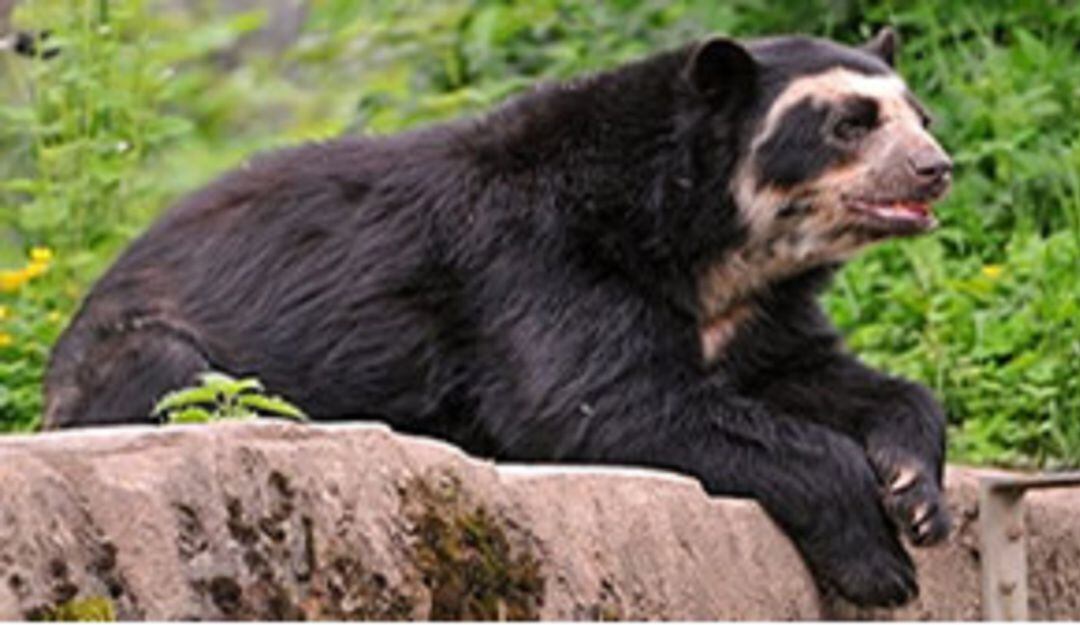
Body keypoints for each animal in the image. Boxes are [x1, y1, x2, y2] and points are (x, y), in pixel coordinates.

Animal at [43, 28, 953, 606]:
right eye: (849, 123)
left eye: (920, 117)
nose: (936, 168)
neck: (710, 243)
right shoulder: (538, 259)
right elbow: (603, 400)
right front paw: (877, 560)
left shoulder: (755, 311)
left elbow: (821, 375)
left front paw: (917, 494)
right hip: (142, 354)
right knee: (169, 373)